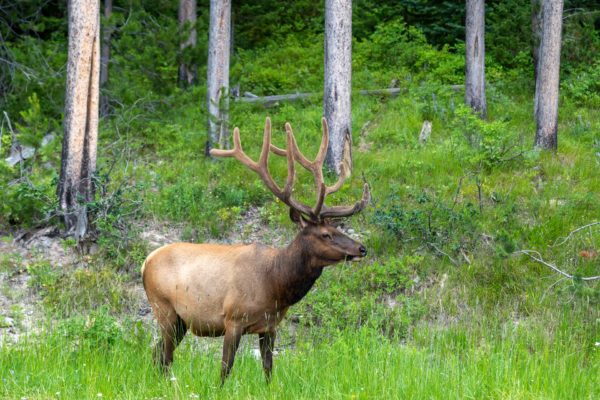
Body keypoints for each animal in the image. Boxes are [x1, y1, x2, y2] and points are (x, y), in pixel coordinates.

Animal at [143, 118, 368, 384]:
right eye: (325, 234)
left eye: (337, 227)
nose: (361, 248)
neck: (276, 284)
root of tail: (146, 261)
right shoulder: (233, 319)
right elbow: (225, 369)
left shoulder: (270, 326)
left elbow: (269, 370)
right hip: (164, 307)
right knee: (166, 358)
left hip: (181, 321)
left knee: (156, 353)